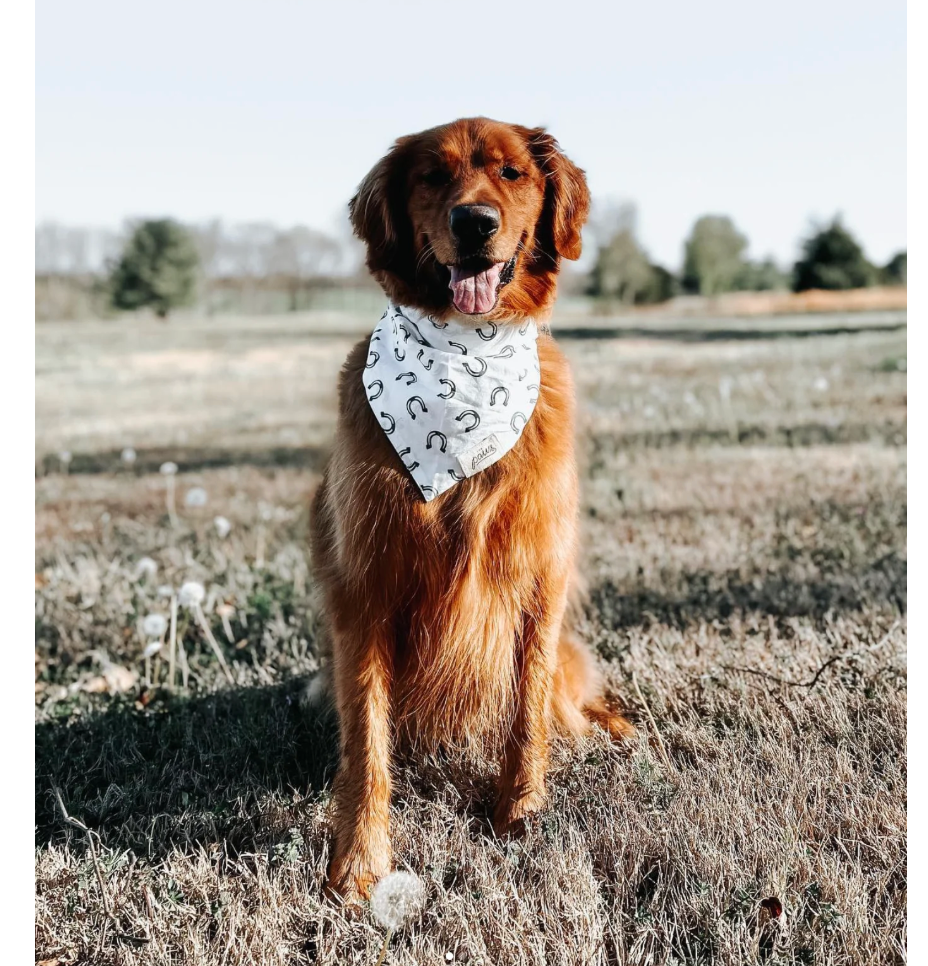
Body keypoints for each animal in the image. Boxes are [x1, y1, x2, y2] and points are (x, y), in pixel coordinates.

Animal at [308, 119, 636, 900]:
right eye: (432, 177)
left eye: (512, 173)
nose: (474, 221)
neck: (464, 356)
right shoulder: (365, 586)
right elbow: (366, 736)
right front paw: (359, 863)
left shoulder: (541, 576)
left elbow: (528, 708)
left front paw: (520, 811)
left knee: (571, 701)